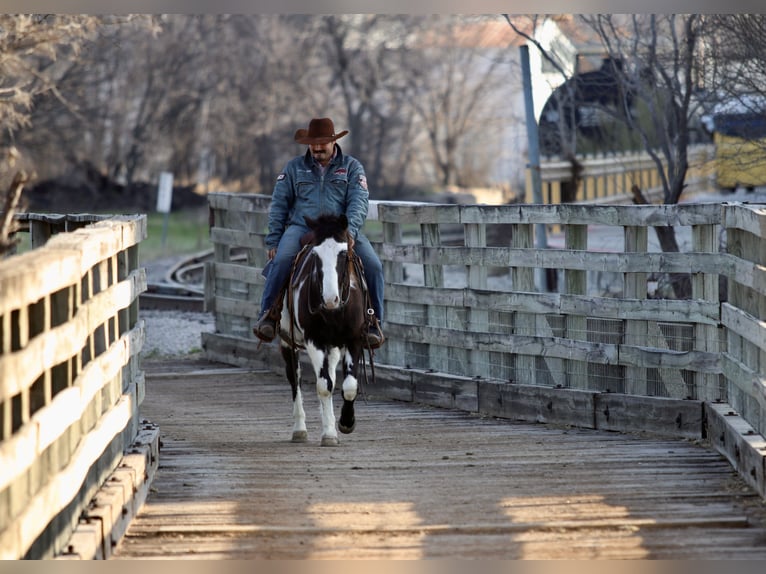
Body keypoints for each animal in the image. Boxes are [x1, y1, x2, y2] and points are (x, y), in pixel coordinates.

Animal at [278, 214, 370, 448]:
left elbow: (349, 386)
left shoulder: (354, 339)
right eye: (315, 255)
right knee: (295, 378)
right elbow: (323, 386)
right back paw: (299, 429)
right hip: (287, 342)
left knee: (331, 377)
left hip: (334, 346)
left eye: (343, 253)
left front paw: (346, 422)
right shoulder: (314, 340)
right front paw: (329, 433)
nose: (330, 299)